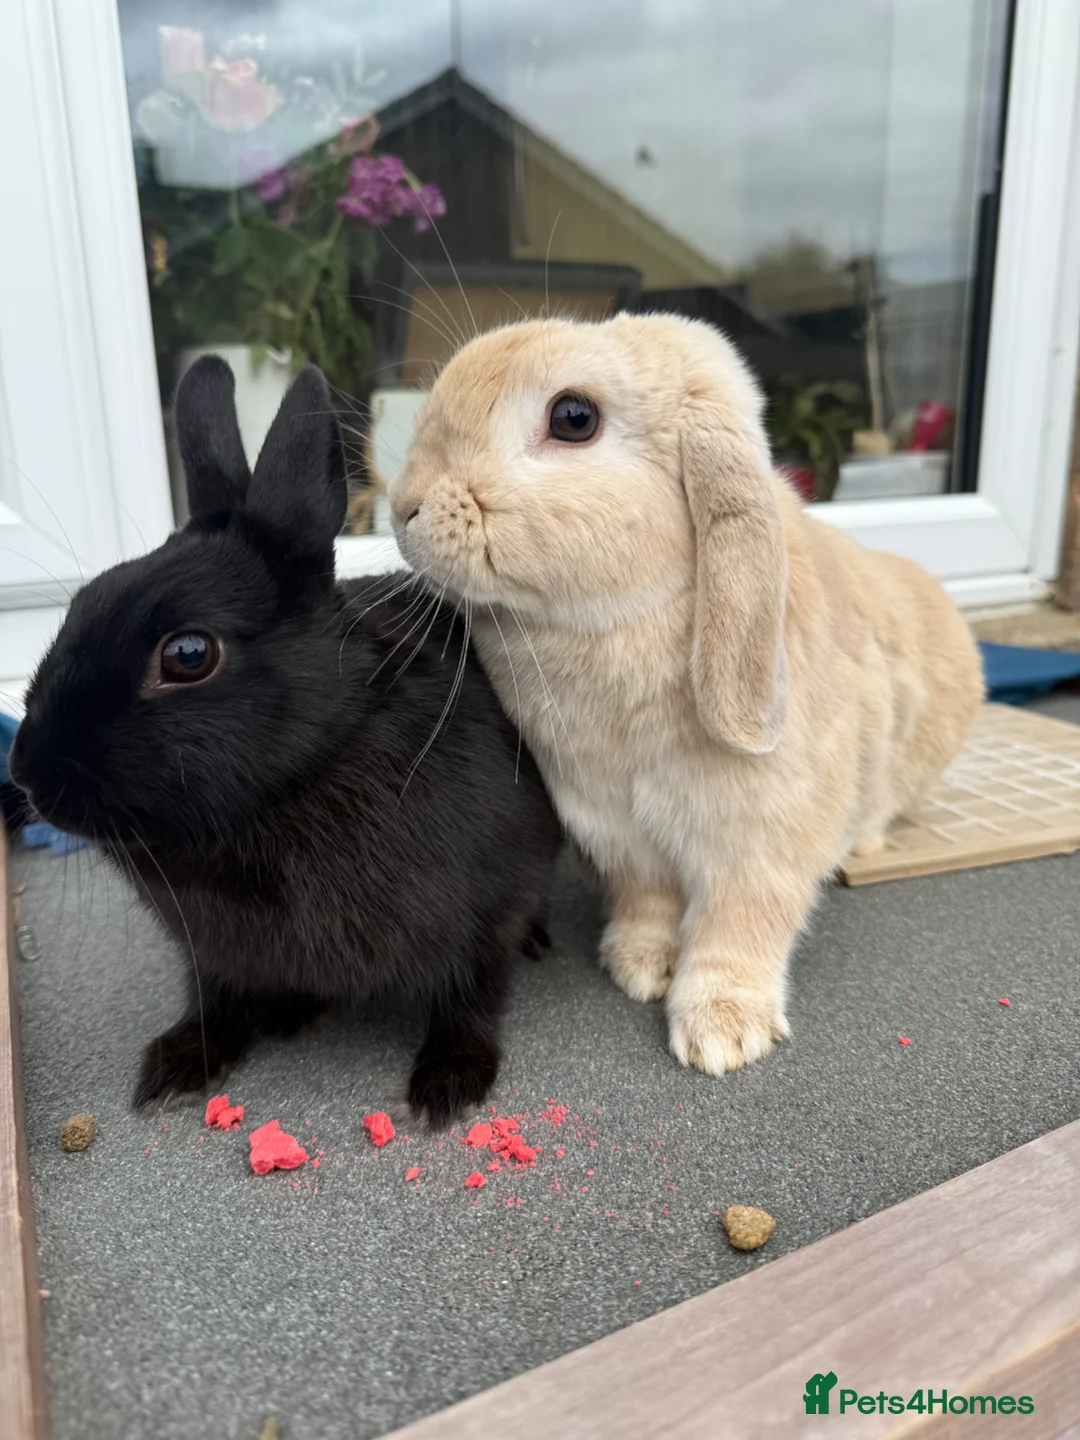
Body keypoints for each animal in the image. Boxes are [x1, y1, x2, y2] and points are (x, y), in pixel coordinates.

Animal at [8, 356, 561, 1125]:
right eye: (82, 600)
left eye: (188, 654)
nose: (28, 774)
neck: (303, 776)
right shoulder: (211, 953)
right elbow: (212, 1001)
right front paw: (176, 1067)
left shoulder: (487, 914)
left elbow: (470, 999)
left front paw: (446, 1086)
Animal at [387, 313, 984, 1075]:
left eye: (573, 418)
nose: (402, 505)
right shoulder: (617, 833)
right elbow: (648, 902)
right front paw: (638, 967)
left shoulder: (760, 843)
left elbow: (740, 926)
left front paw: (722, 1033)